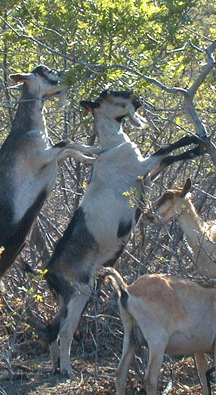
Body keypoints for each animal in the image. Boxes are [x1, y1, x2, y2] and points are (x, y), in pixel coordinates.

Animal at [0, 65, 101, 276]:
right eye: (45, 72)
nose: (68, 77)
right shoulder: (42, 158)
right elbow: (67, 142)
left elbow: (70, 150)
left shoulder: (52, 159)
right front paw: (94, 152)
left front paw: (91, 157)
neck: (28, 130)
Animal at [44, 89, 206, 378]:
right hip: (80, 293)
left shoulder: (147, 176)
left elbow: (165, 158)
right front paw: (196, 143)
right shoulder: (140, 167)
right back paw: (67, 370)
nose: (137, 97)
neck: (112, 146)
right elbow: (165, 151)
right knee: (66, 331)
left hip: (67, 298)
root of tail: (49, 271)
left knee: (52, 327)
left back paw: (54, 367)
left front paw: (196, 145)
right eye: (110, 95)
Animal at [101, 266, 216, 395]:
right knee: (149, 379)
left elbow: (203, 377)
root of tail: (127, 289)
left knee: (120, 373)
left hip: (130, 338)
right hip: (157, 342)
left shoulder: (199, 351)